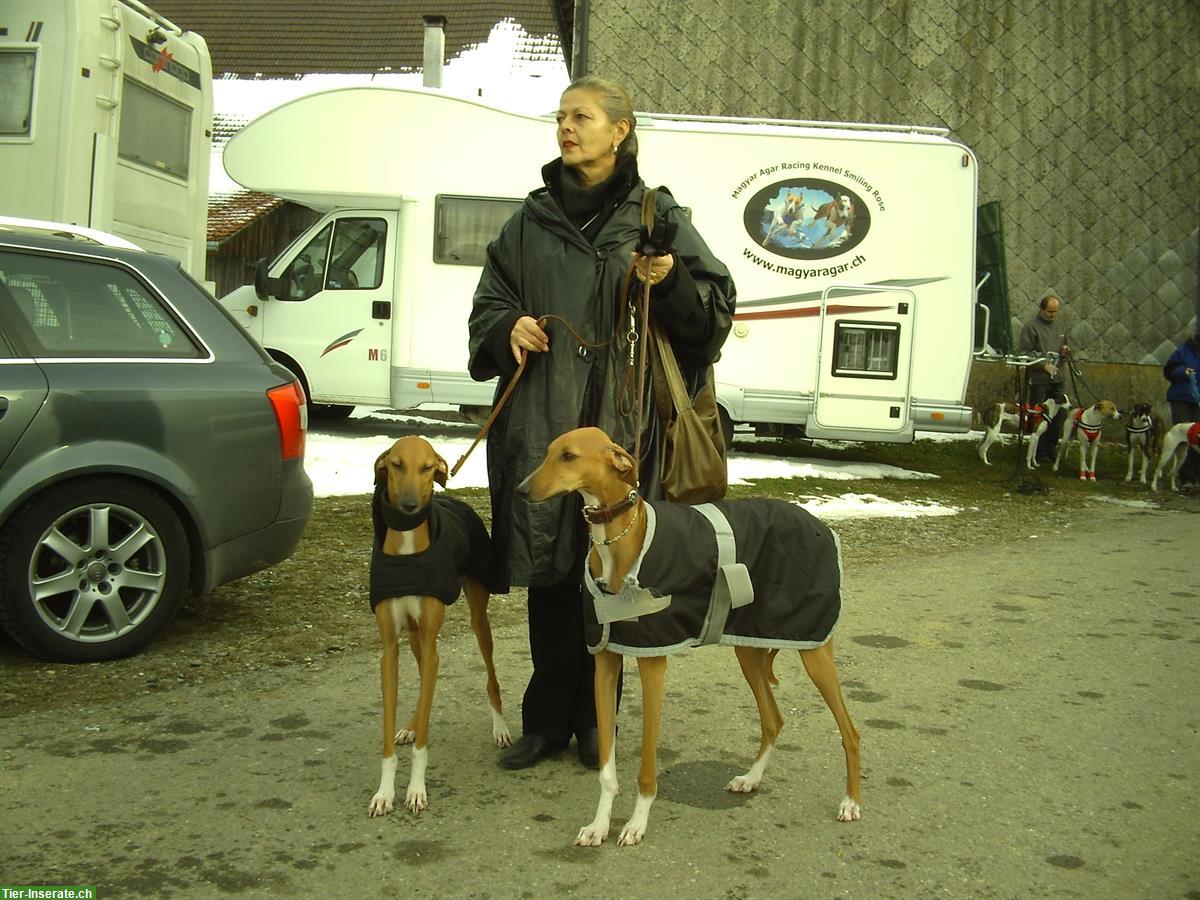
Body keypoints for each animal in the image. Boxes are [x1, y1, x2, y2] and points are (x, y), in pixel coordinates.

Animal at [369, 436, 511, 816]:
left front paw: (416, 789)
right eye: (397, 464)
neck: (407, 551)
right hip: (415, 636)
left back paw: (500, 727)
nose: (409, 505)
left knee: (489, 676)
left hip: (477, 620)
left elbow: (423, 742)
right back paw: (411, 724)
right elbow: (389, 731)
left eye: (427, 467)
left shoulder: (431, 639)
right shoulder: (390, 649)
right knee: (423, 678)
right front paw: (384, 792)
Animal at [516, 427, 864, 849]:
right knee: (774, 719)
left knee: (850, 731)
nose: (520, 490)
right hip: (749, 651)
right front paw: (599, 824)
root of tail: (819, 523)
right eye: (549, 452)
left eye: (568, 456)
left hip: (814, 650)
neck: (622, 537)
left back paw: (850, 802)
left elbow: (647, 765)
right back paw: (751, 779)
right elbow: (606, 767)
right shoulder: (604, 663)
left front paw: (636, 823)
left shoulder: (653, 665)